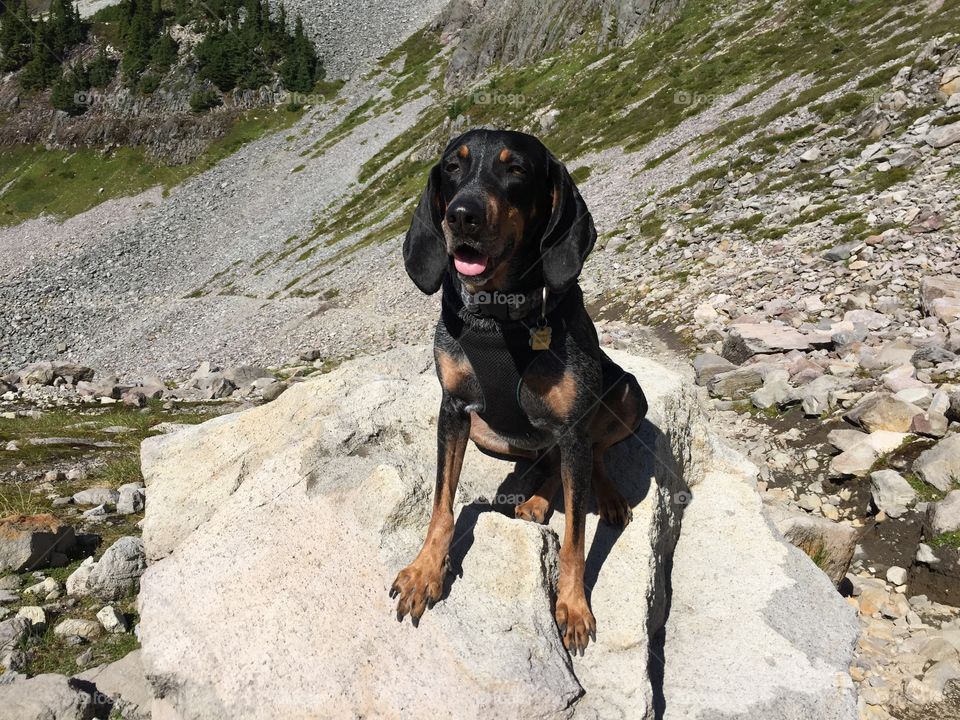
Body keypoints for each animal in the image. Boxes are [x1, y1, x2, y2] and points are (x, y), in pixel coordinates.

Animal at [388, 128, 644, 652]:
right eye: (452, 166)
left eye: (517, 169)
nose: (461, 215)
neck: (498, 315)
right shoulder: (453, 410)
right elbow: (442, 506)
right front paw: (425, 571)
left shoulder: (573, 425)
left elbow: (575, 538)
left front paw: (573, 606)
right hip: (488, 432)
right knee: (546, 462)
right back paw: (536, 499)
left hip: (629, 393)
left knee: (594, 455)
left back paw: (602, 497)